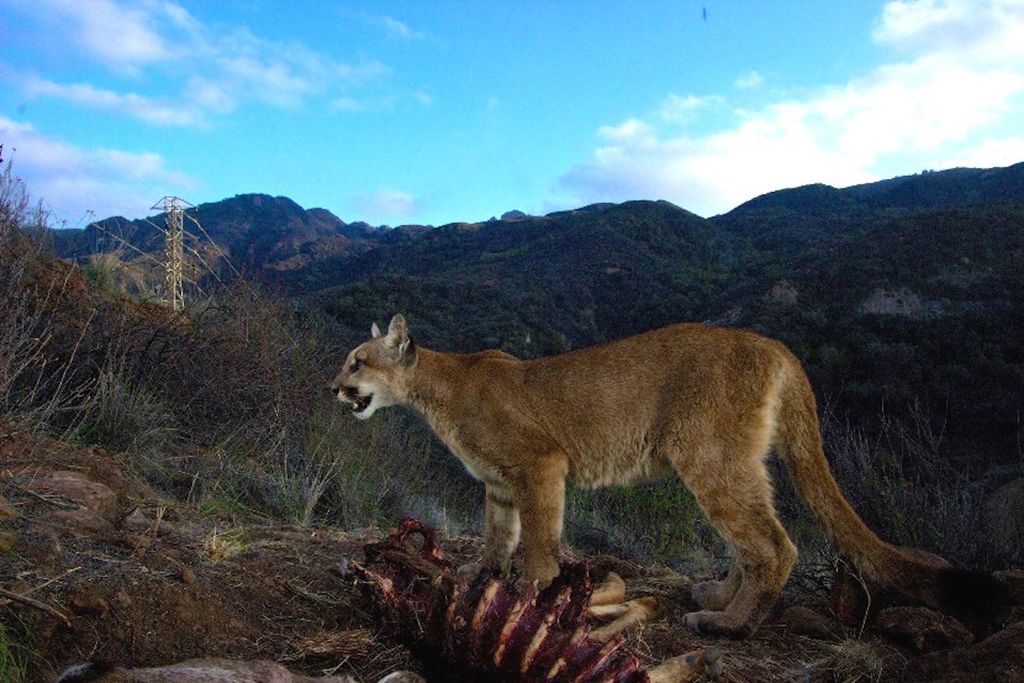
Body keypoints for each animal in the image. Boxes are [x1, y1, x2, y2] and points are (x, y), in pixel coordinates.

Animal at [330, 314, 998, 636]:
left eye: (358, 362)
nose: (334, 388)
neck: (439, 390)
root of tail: (773, 344)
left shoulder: (541, 464)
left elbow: (540, 544)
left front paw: (528, 596)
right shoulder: (498, 485)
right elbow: (499, 538)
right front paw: (481, 577)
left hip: (705, 455)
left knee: (774, 544)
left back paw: (729, 625)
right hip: (733, 460)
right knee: (751, 540)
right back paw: (719, 597)